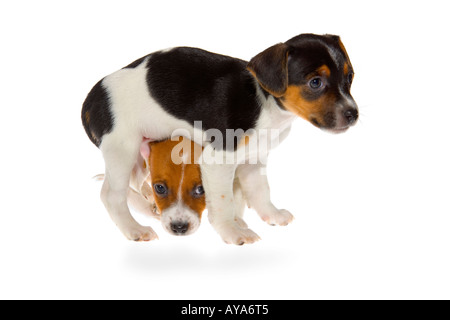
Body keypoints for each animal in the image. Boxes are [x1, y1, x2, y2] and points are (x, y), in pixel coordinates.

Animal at [82, 33, 358, 245]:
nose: (353, 114)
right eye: (315, 82)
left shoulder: (253, 160)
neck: (264, 102)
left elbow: (260, 192)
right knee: (111, 195)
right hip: (123, 151)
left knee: (134, 186)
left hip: (140, 155)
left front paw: (271, 215)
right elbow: (224, 202)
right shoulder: (217, 161)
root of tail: (92, 98)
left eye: (349, 77)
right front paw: (232, 232)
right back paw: (134, 229)